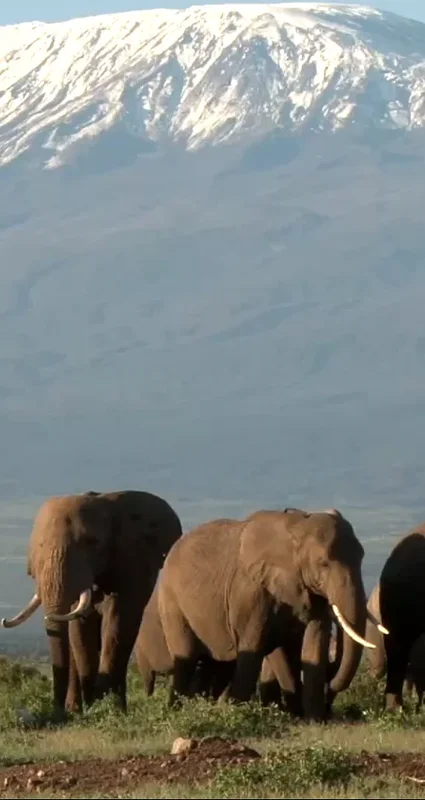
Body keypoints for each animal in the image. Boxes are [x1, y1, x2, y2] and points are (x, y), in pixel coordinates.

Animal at [1, 490, 183, 715]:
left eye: (92, 542)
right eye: (40, 545)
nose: (56, 711)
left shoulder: (130, 561)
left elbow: (117, 620)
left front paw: (107, 707)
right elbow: (80, 628)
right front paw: (93, 706)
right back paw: (75, 708)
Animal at [156, 507, 382, 720]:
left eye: (361, 557)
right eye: (324, 563)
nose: (328, 707)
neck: (297, 528)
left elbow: (315, 641)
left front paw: (313, 720)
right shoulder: (252, 592)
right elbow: (259, 643)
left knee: (216, 663)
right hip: (171, 600)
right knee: (187, 656)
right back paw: (178, 710)